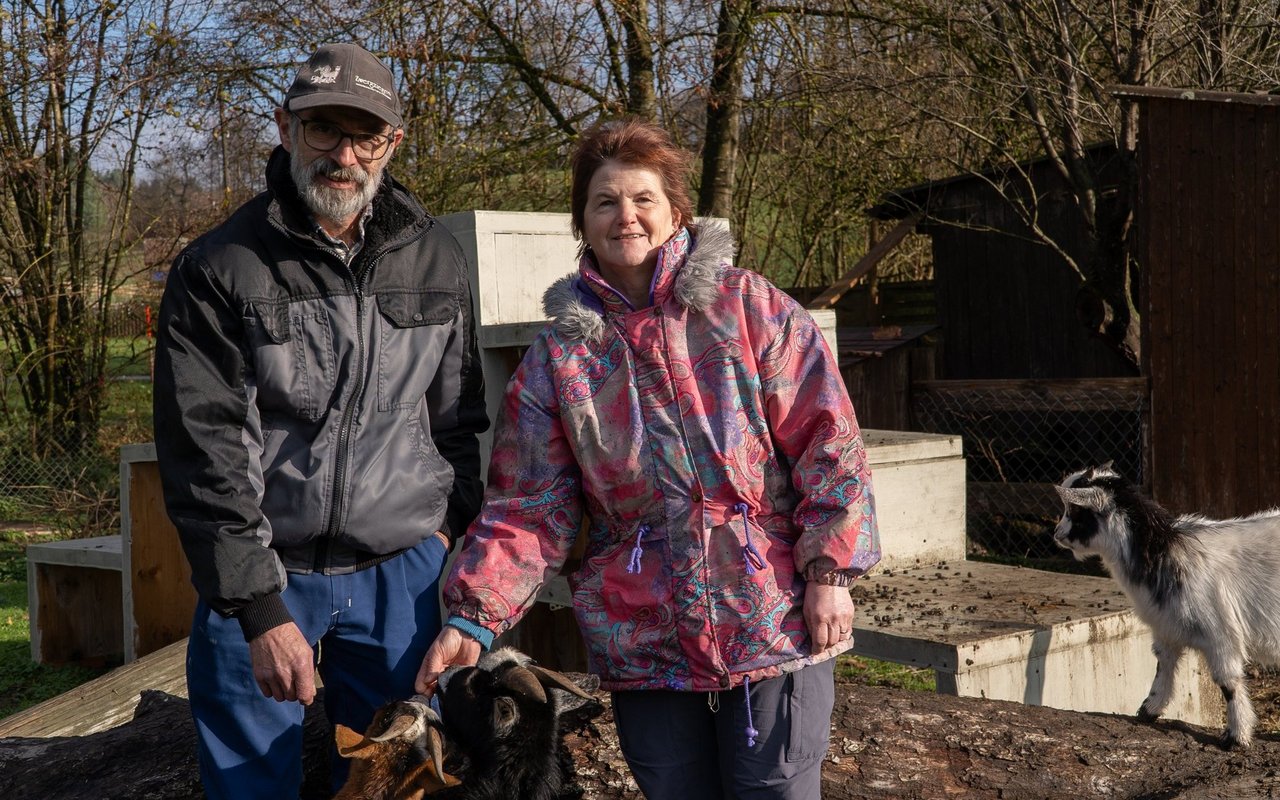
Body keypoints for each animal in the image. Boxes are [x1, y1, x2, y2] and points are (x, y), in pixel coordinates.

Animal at [1054, 460, 1280, 747]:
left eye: (1074, 510)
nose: (1056, 534)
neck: (1165, 550)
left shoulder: (1221, 633)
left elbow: (1228, 682)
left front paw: (1236, 736)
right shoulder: (1166, 628)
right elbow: (1163, 665)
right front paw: (1148, 710)